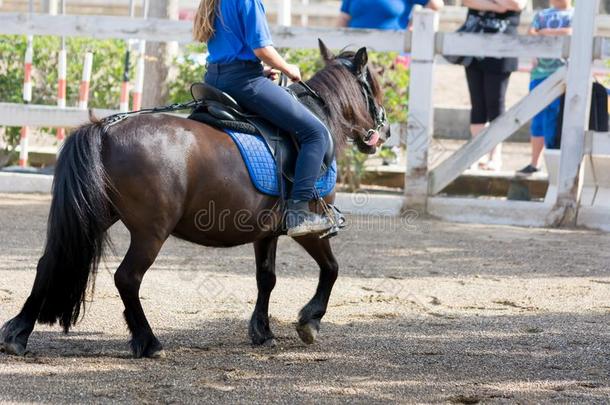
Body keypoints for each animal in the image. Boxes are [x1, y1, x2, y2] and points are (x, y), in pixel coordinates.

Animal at [0, 41, 388, 356]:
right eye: (375, 87)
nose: (382, 132)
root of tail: (105, 129)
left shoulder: (265, 234)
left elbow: (267, 278)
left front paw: (262, 331)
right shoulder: (309, 226)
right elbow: (331, 269)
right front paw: (310, 321)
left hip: (97, 214)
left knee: (49, 263)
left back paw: (18, 333)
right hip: (151, 232)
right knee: (127, 278)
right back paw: (148, 342)